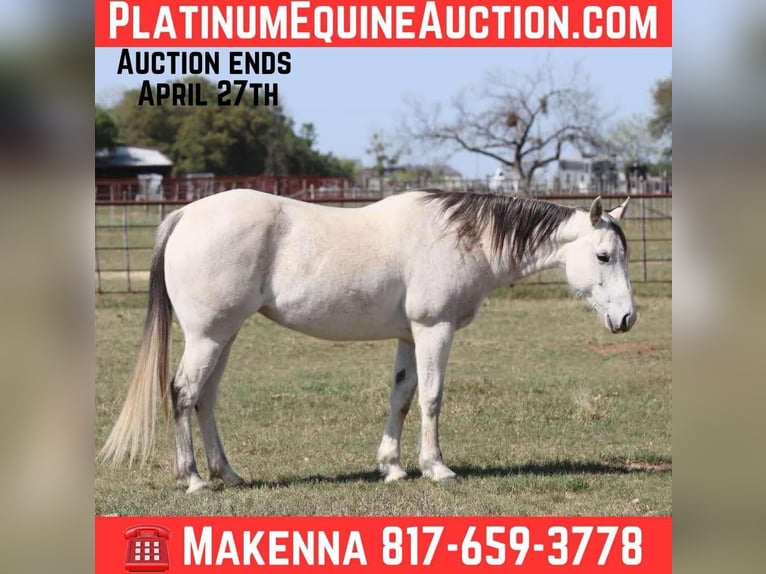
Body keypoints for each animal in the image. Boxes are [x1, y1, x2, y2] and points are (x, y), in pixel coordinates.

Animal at [99, 189, 635, 493]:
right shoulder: (433, 329)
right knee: (183, 393)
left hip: (224, 336)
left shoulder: (409, 335)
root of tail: (185, 215)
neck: (464, 237)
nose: (627, 318)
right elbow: (432, 398)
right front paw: (436, 468)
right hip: (207, 336)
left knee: (206, 399)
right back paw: (192, 479)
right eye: (604, 256)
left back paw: (227, 475)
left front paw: (392, 467)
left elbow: (401, 397)